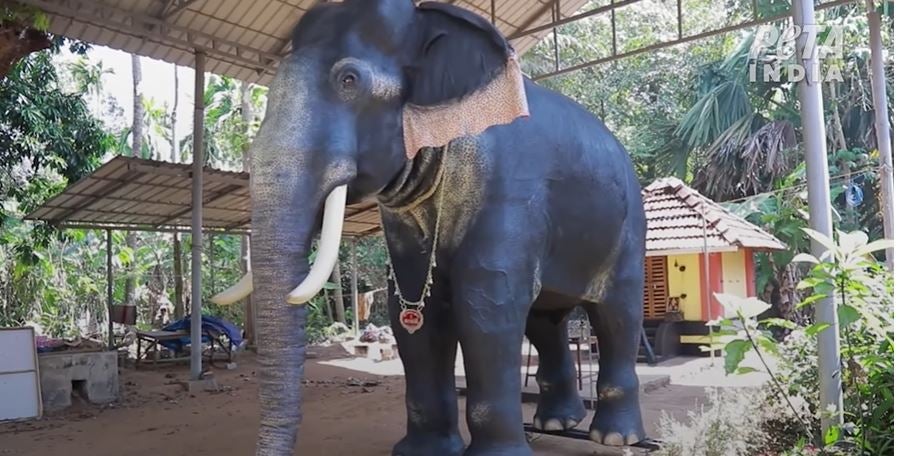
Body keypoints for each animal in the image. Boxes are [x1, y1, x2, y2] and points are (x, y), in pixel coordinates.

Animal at [212, 0, 647, 454]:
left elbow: (487, 302)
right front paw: (421, 451)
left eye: (349, 80)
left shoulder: (512, 187)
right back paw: (557, 423)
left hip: (630, 228)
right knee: (547, 321)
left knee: (617, 314)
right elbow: (413, 310)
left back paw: (615, 436)